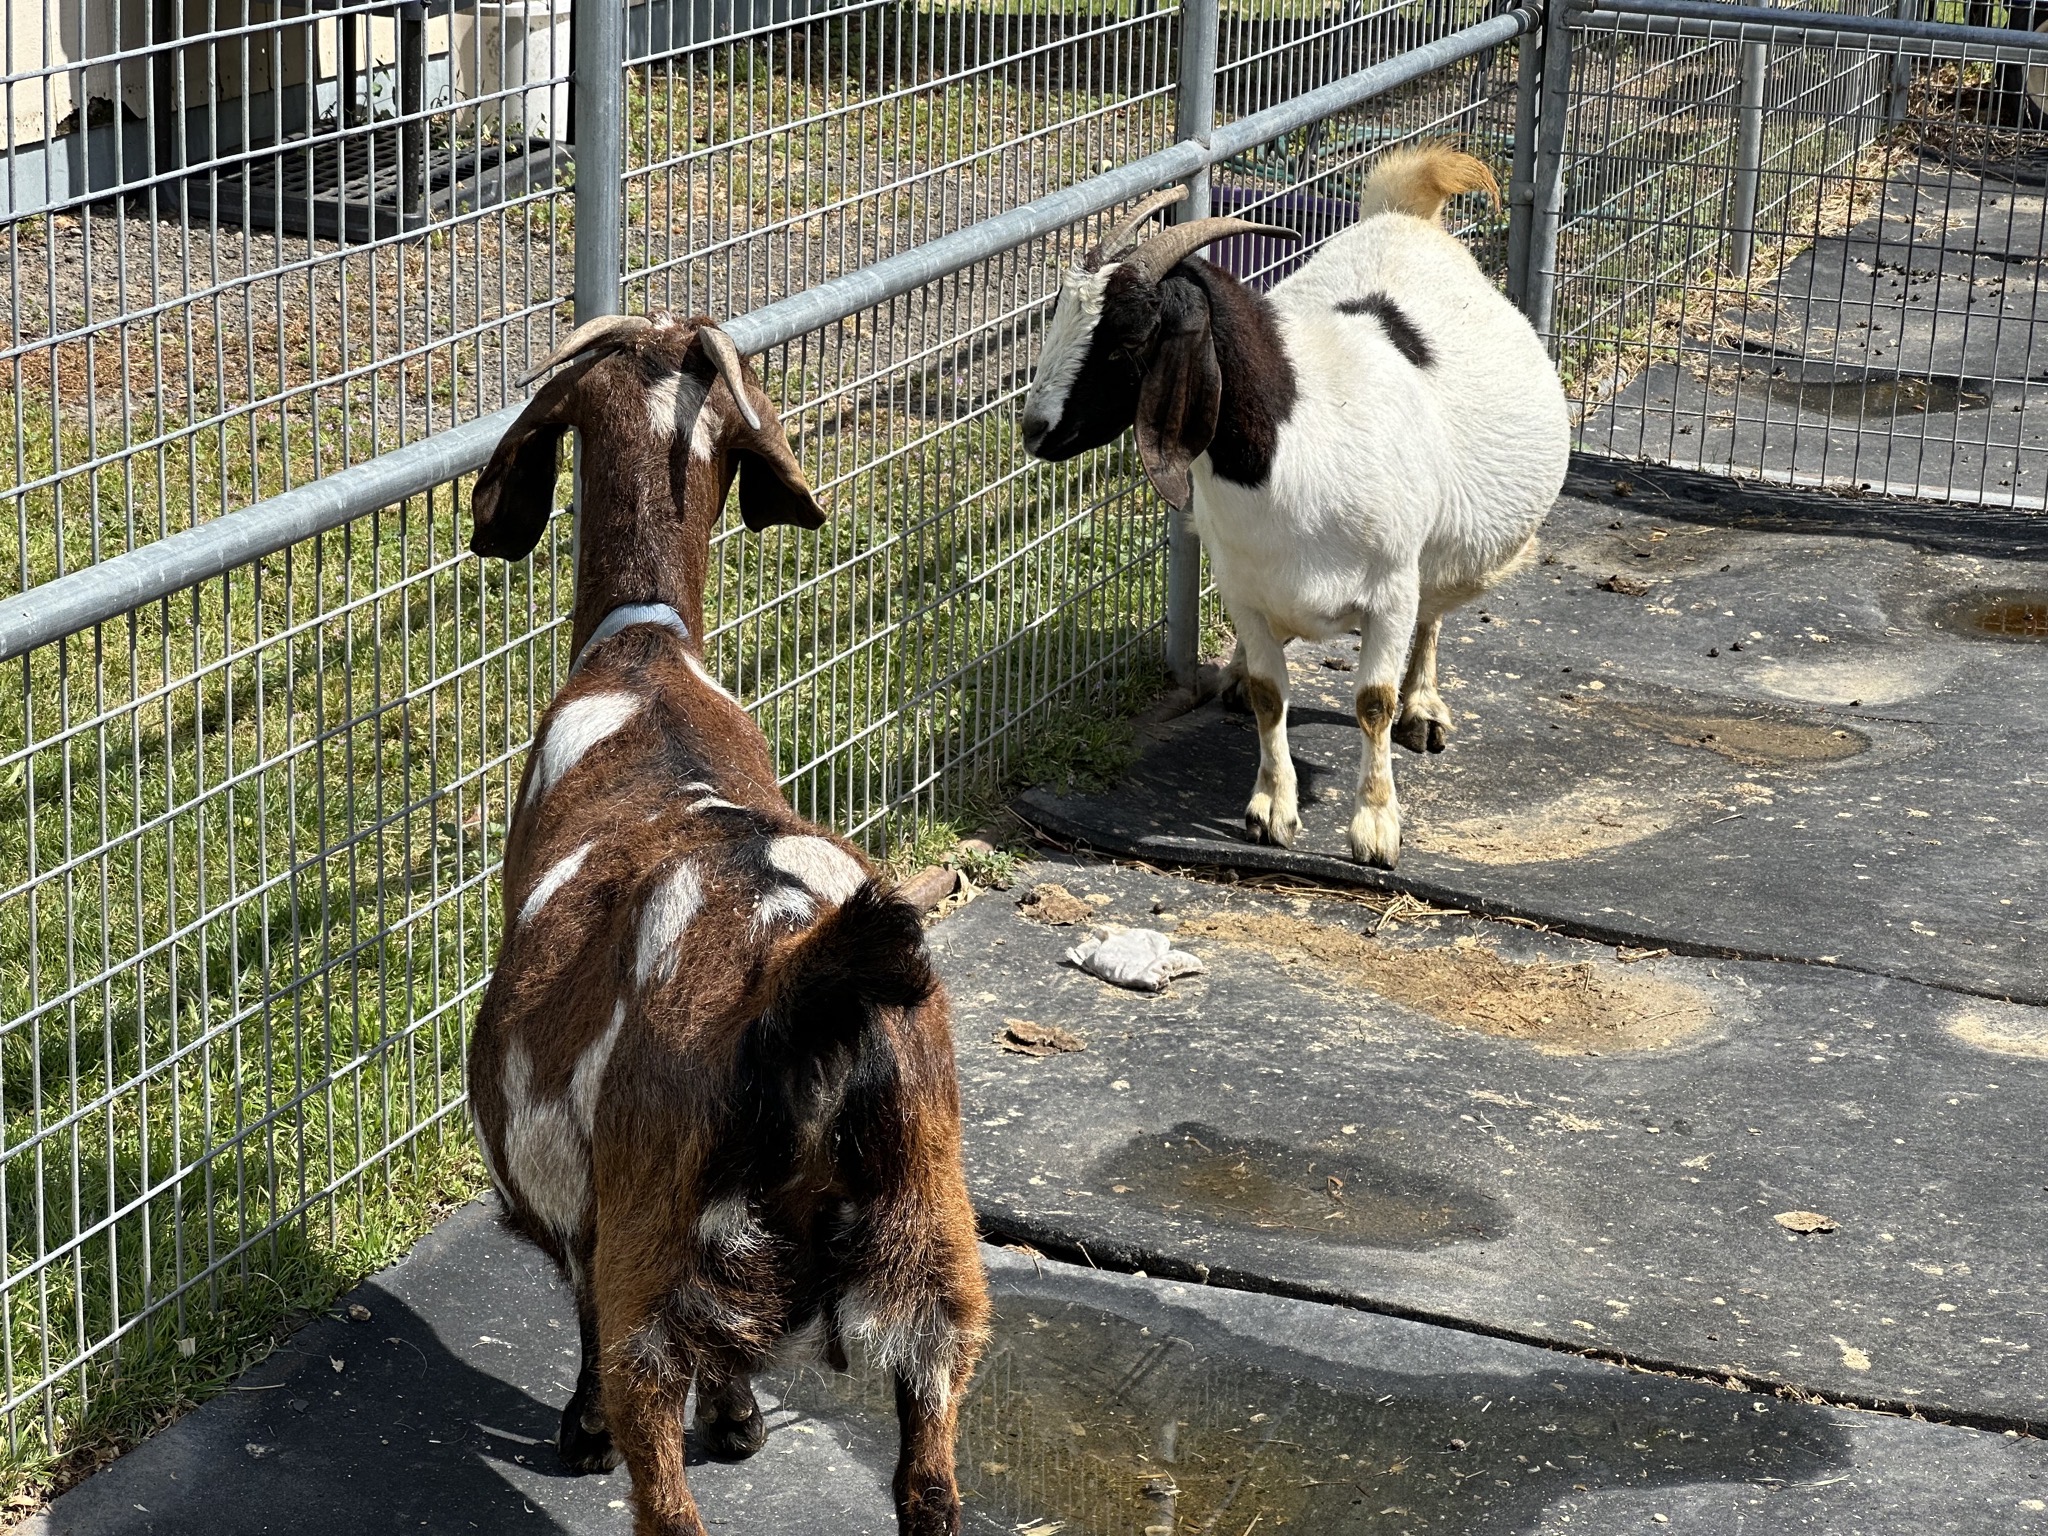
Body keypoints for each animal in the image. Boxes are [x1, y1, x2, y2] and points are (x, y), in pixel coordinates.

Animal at [465, 313, 989, 1536]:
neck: (643, 658)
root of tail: (808, 969)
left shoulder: (597, 1210)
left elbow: (579, 1301)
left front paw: (585, 1434)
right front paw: (745, 1421)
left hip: (665, 1246)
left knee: (664, 1479)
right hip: (932, 1247)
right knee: (929, 1476)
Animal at [1021, 144, 1571, 868]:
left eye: (1127, 339)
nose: (1034, 430)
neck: (1298, 437)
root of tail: (1403, 214)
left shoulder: (1389, 590)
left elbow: (1372, 701)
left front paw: (1376, 828)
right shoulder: (1247, 590)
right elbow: (1269, 695)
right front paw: (1270, 810)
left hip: (1445, 556)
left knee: (1432, 614)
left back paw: (1424, 711)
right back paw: (1232, 677)